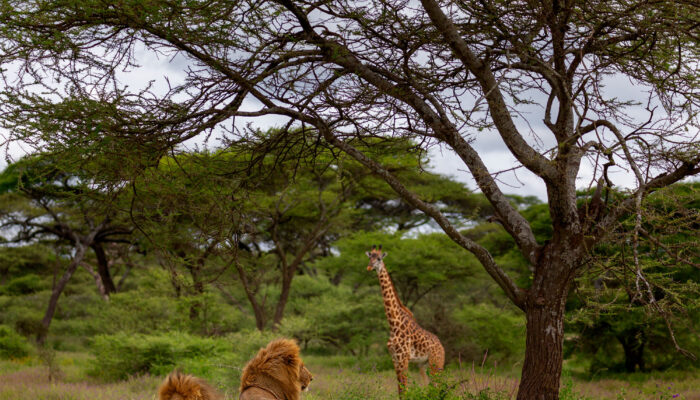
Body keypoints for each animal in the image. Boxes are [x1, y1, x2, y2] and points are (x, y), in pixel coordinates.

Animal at [366, 245, 442, 396]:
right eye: (369, 256)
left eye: (379, 258)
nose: (369, 267)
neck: (393, 323)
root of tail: (442, 347)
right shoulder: (395, 359)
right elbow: (400, 390)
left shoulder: (404, 358)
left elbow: (404, 389)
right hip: (423, 365)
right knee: (429, 386)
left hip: (436, 364)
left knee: (439, 386)